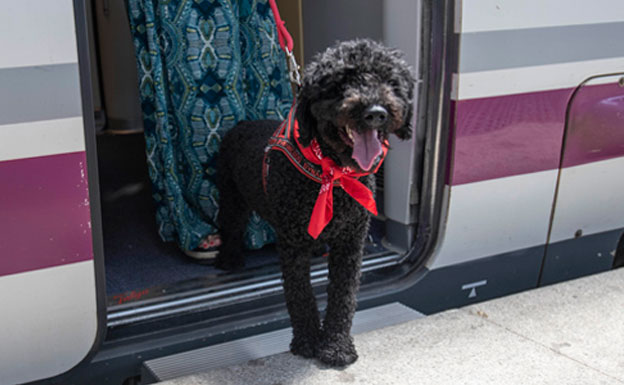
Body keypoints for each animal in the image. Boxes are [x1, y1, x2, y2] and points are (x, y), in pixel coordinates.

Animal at [214, 39, 414, 366]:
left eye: (390, 81)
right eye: (340, 83)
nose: (375, 112)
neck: (331, 172)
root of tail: (242, 123)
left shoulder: (351, 242)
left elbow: (344, 296)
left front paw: (336, 346)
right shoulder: (292, 244)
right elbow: (300, 295)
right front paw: (308, 340)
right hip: (231, 195)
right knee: (230, 226)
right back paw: (229, 259)